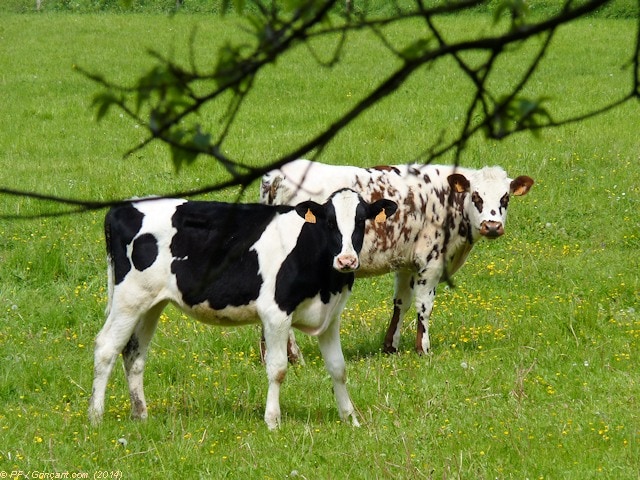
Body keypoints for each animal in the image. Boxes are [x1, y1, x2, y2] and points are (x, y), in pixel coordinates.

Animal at [85, 189, 396, 430]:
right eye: (329, 222)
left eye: (361, 221)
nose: (346, 260)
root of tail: (123, 205)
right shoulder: (275, 314)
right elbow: (278, 368)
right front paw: (272, 421)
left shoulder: (331, 317)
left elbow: (338, 368)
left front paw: (350, 418)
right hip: (128, 298)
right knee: (106, 347)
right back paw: (95, 417)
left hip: (151, 303)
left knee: (134, 354)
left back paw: (140, 414)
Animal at [260, 160, 536, 356]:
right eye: (476, 196)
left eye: (505, 198)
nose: (492, 226)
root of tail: (279, 174)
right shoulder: (431, 262)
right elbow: (424, 306)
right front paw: (423, 349)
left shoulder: (405, 264)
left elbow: (401, 303)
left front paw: (390, 346)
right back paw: (293, 356)